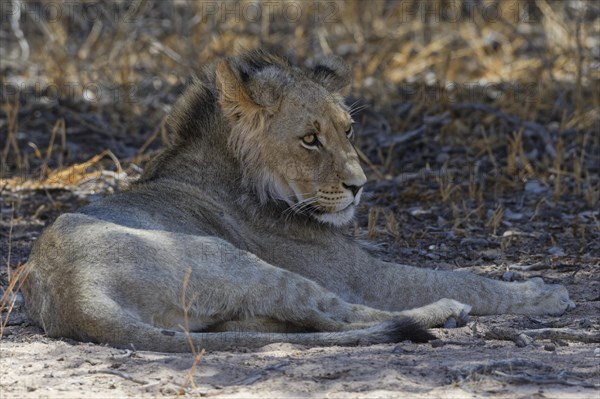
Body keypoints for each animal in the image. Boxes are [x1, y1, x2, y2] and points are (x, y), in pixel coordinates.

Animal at [22, 50, 576, 354]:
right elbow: (461, 277)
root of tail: (73, 295)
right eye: (310, 140)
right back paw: (447, 312)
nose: (359, 186)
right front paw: (542, 292)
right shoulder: (362, 276)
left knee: (303, 321)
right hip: (233, 261)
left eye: (348, 130)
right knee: (339, 314)